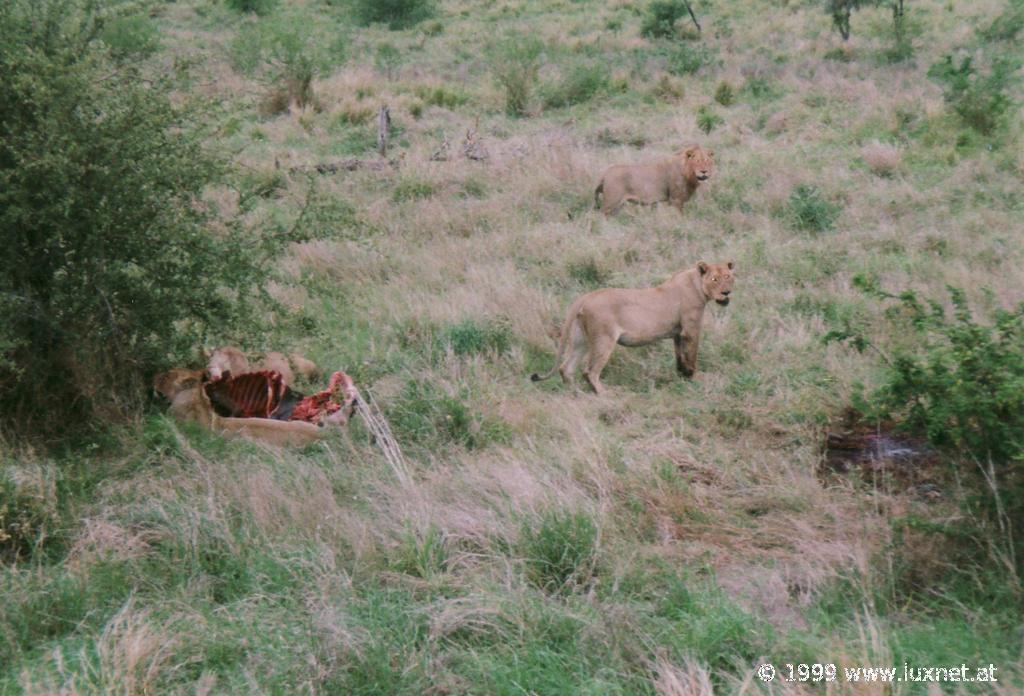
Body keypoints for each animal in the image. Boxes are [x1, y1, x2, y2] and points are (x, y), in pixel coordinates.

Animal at [532, 259, 733, 395]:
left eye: (728, 277)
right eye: (714, 279)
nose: (726, 292)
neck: (697, 284)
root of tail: (585, 297)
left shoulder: (677, 333)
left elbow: (680, 357)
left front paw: (682, 377)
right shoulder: (691, 330)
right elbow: (691, 356)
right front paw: (694, 379)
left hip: (580, 340)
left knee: (566, 368)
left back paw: (576, 393)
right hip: (604, 340)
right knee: (590, 371)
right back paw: (604, 395)